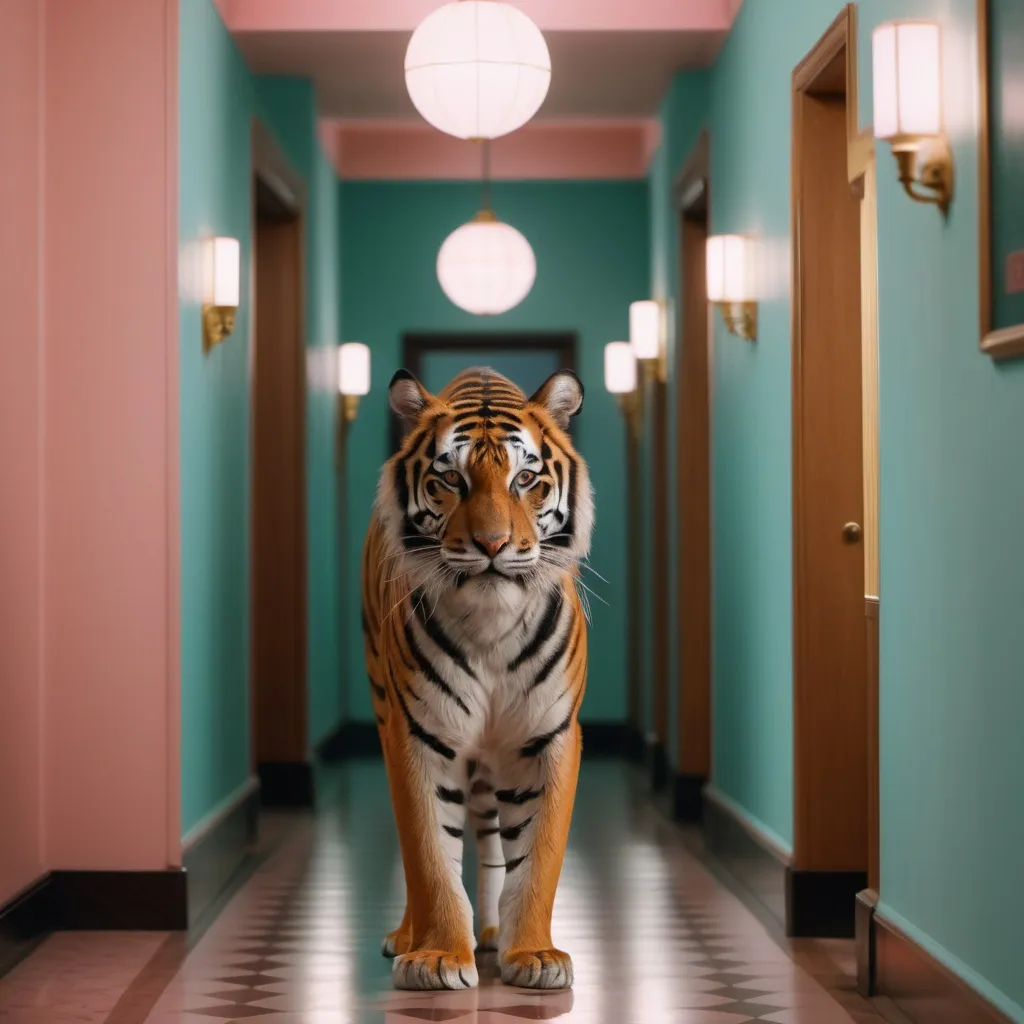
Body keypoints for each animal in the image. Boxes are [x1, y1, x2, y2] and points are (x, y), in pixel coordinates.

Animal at [360, 366, 593, 991]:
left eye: (526, 479)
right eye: (450, 479)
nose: (492, 545)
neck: (491, 626)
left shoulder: (548, 738)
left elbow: (538, 859)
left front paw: (534, 955)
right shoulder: (416, 737)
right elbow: (428, 857)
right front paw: (438, 957)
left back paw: (491, 933)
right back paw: (410, 937)